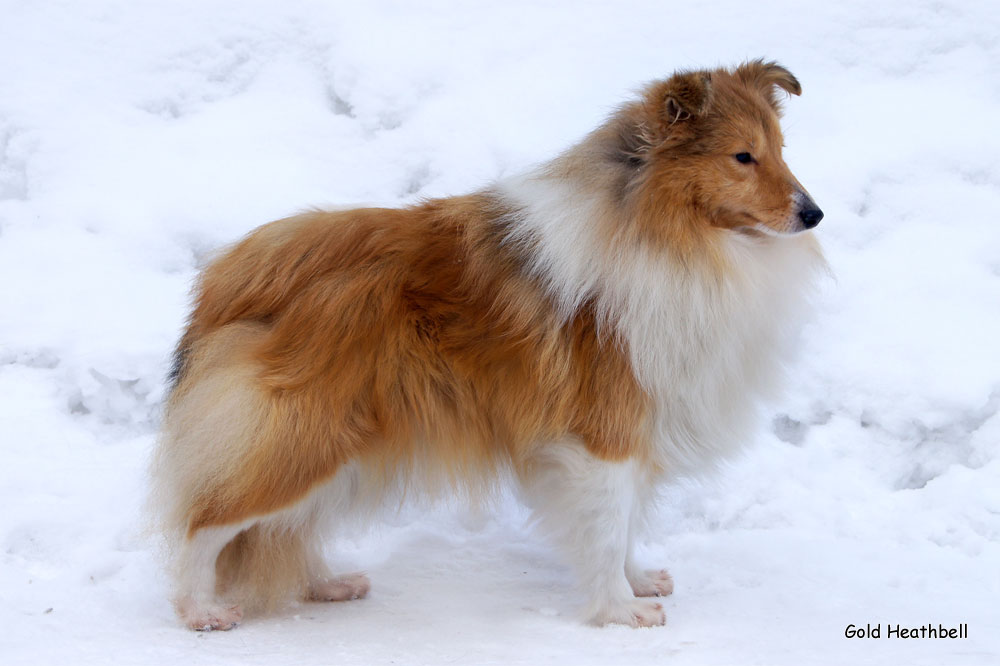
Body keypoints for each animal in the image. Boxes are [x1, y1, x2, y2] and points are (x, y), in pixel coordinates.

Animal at [152, 61, 824, 628]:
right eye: (742, 156)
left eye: (780, 151)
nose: (813, 214)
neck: (666, 233)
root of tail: (230, 277)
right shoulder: (606, 432)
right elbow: (610, 525)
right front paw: (619, 610)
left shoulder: (632, 428)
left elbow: (626, 522)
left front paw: (635, 582)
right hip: (303, 433)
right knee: (205, 523)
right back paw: (200, 611)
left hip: (341, 444)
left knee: (285, 525)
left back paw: (325, 585)